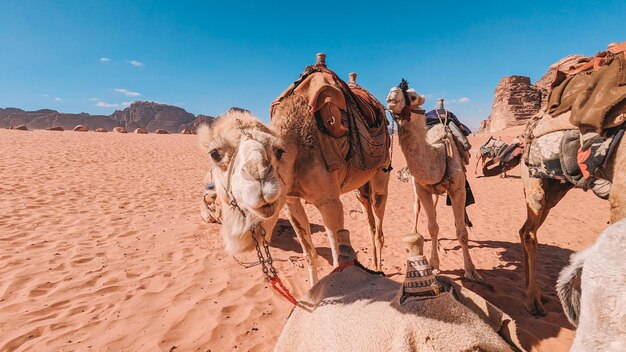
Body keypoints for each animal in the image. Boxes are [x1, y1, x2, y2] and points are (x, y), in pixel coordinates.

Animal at [386, 80, 482, 284]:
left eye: (413, 96)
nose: (392, 95)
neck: (438, 154)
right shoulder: (422, 188)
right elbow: (432, 228)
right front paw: (434, 265)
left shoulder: (458, 189)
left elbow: (462, 232)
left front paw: (471, 271)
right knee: (417, 209)